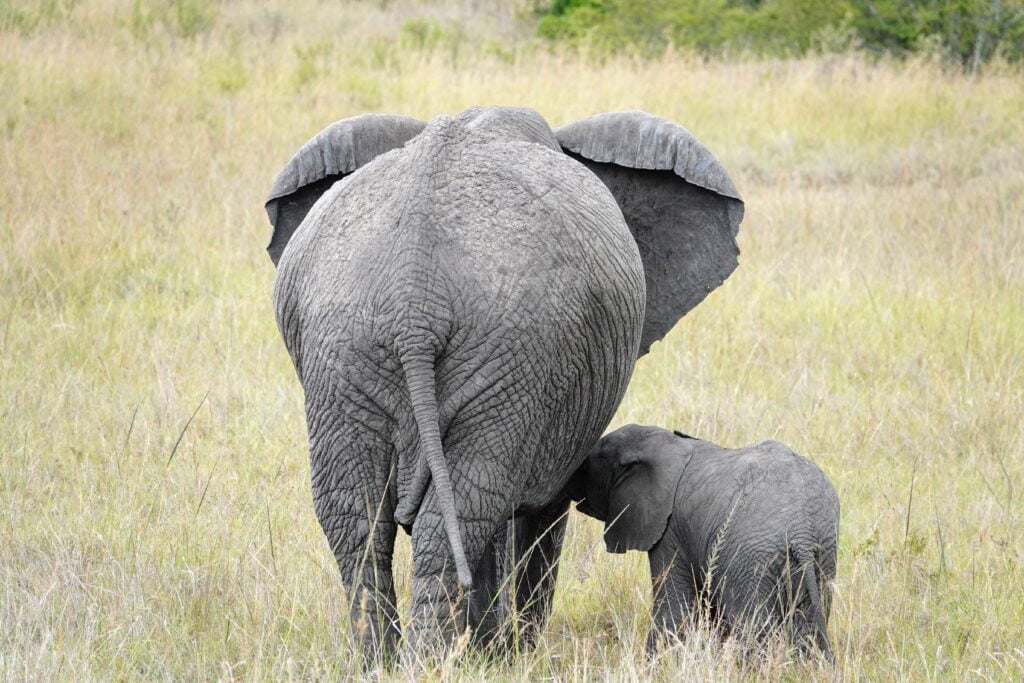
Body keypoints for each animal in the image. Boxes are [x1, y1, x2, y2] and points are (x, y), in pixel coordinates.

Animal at [264, 107, 745, 655]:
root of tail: (415, 293)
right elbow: (544, 508)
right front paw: (513, 651)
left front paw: (492, 647)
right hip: (501, 352)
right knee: (458, 510)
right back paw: (432, 661)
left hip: (348, 349)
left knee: (358, 517)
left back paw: (385, 662)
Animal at [569, 423, 839, 659]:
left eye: (587, 467)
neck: (669, 442)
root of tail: (800, 528)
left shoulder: (670, 532)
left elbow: (675, 607)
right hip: (822, 551)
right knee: (807, 623)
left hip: (752, 556)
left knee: (753, 625)